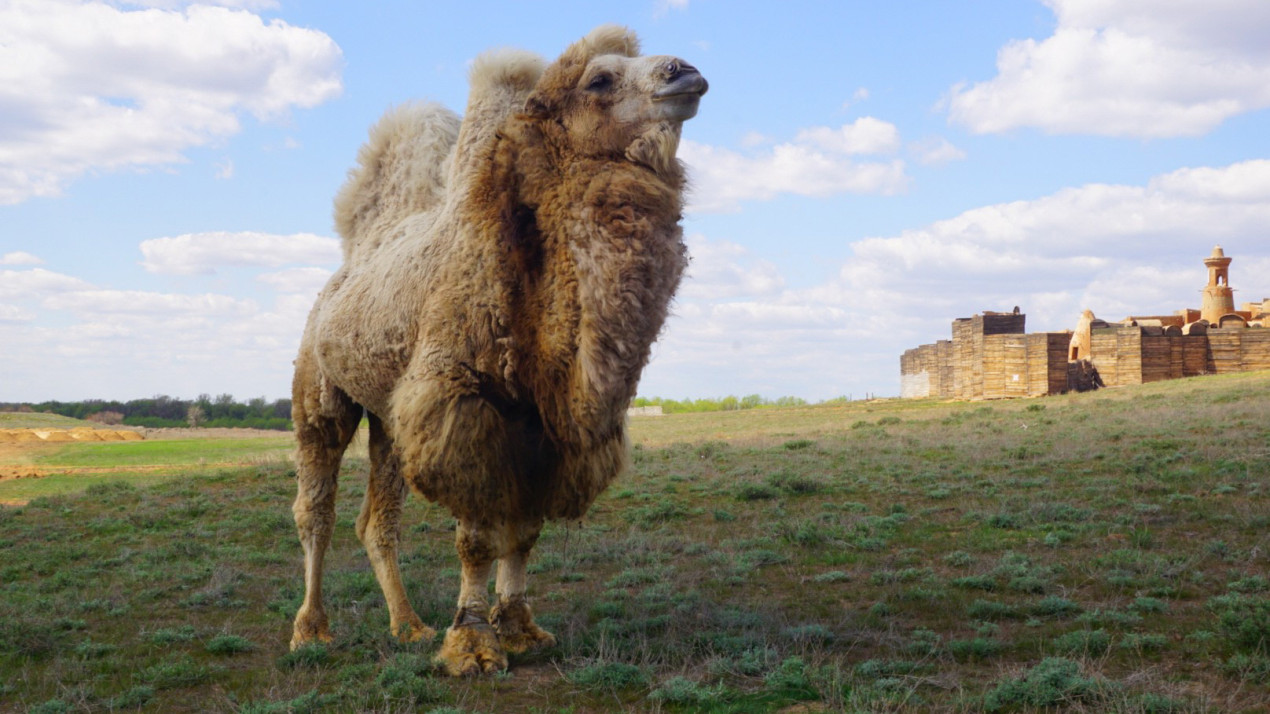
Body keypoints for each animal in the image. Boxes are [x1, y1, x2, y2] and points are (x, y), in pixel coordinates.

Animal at [288, 26, 706, 670]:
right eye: (599, 79)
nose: (684, 72)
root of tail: (346, 267)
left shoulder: (541, 426)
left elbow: (525, 530)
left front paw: (519, 628)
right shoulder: (463, 404)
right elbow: (479, 538)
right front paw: (472, 643)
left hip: (389, 416)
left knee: (378, 520)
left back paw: (408, 625)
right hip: (319, 387)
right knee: (318, 507)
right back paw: (310, 630)